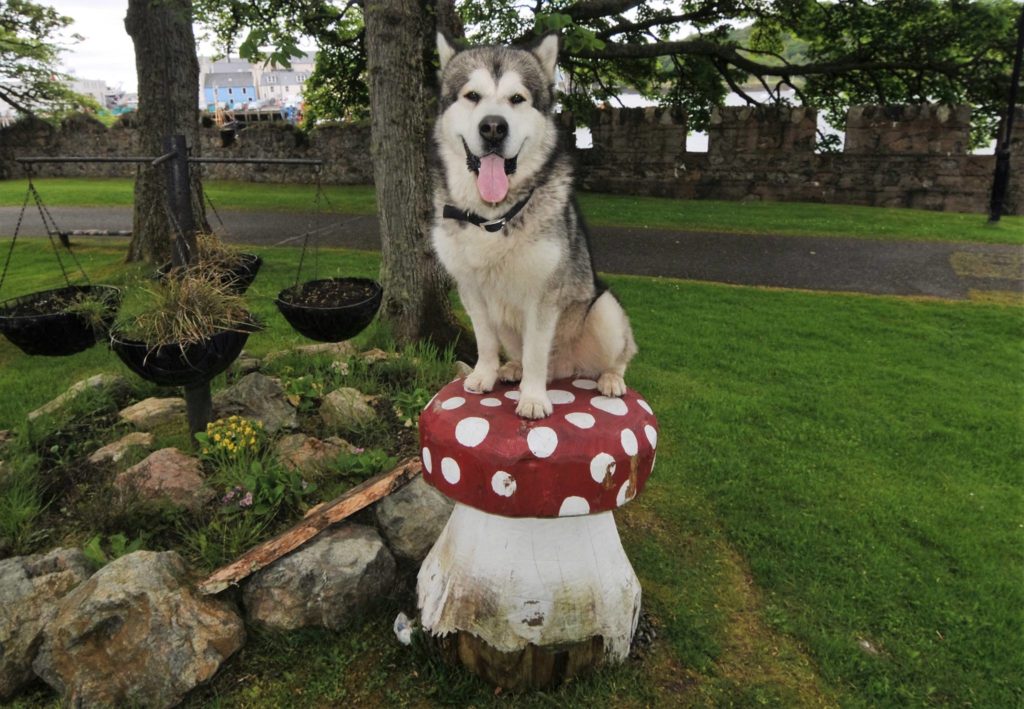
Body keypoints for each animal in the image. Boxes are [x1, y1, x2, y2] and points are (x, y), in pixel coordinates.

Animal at [428, 33, 634, 418]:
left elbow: (537, 352)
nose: (493, 127)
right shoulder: (471, 290)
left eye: (517, 99)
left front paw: (534, 397)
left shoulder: (543, 297)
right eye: (472, 95)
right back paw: (512, 368)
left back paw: (611, 379)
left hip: (604, 309)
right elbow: (485, 341)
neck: (492, 218)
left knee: (615, 356)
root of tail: (567, 370)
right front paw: (485, 374)